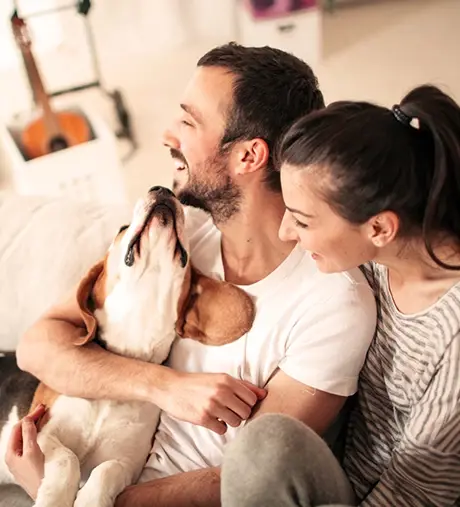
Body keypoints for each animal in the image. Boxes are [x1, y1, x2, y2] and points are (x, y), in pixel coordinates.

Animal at [0, 188, 255, 507]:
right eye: (122, 228)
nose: (162, 190)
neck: (127, 359)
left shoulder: (127, 463)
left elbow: (106, 470)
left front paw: (90, 500)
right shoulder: (40, 431)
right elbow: (67, 458)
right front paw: (54, 498)